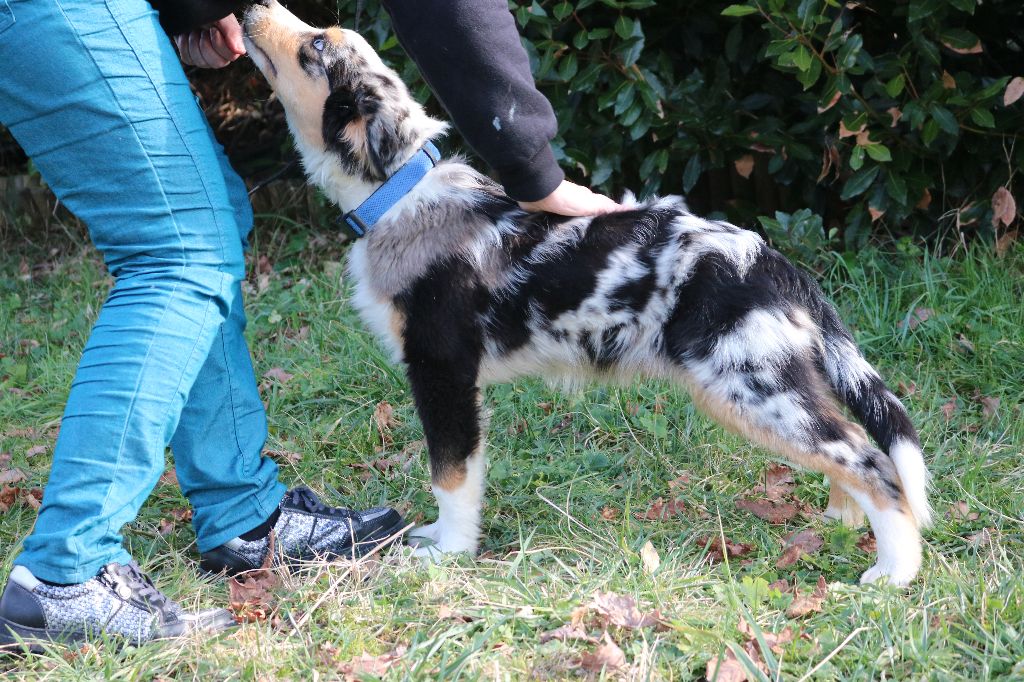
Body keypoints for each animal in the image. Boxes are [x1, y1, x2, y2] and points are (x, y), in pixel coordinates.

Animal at [239, 0, 929, 585]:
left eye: (316, 44)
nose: (252, 6)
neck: (397, 193)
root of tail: (772, 259)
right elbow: (463, 470)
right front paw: (441, 539)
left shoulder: (442, 368)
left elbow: (451, 472)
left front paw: (450, 551)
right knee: (851, 441)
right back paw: (845, 516)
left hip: (753, 386)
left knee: (871, 460)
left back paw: (893, 572)